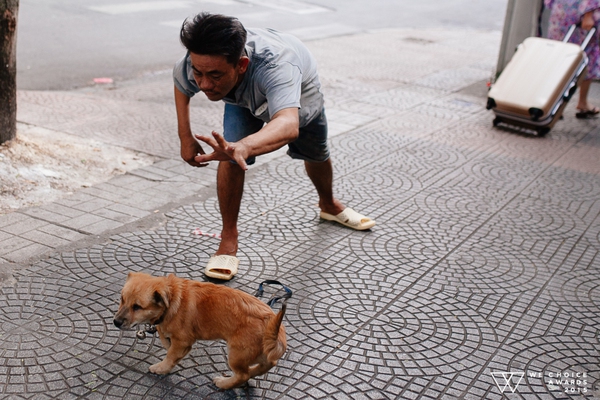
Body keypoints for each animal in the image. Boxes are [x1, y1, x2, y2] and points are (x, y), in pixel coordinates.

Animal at [116, 272, 290, 388]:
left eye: (137, 307)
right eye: (122, 299)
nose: (115, 322)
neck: (172, 300)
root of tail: (273, 325)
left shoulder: (183, 341)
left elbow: (170, 355)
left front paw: (161, 368)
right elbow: (165, 340)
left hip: (236, 353)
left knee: (243, 375)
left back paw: (224, 383)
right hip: (257, 354)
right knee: (267, 364)